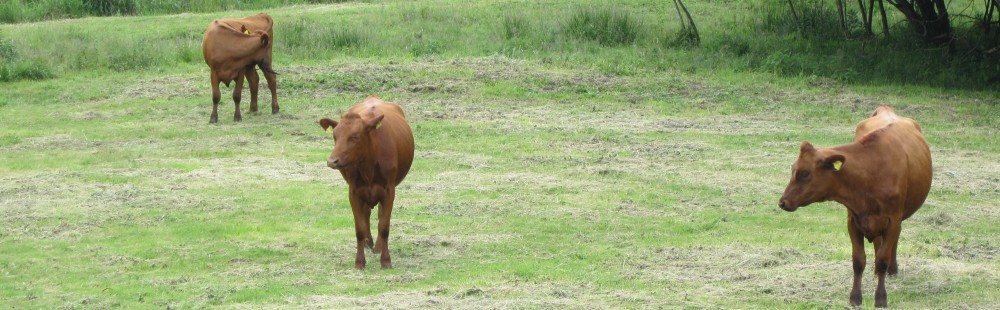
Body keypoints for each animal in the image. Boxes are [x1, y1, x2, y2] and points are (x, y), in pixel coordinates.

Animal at [320, 95, 414, 270]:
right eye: (335, 136)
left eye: (355, 137)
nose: (332, 161)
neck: (369, 164)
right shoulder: (354, 192)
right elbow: (360, 228)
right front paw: (359, 262)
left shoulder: (389, 191)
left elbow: (384, 227)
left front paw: (386, 260)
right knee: (366, 214)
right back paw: (368, 243)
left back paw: (377, 246)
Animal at [776, 104, 932, 308]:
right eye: (793, 170)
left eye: (804, 173)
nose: (783, 202)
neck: (870, 174)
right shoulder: (853, 221)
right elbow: (858, 261)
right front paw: (855, 297)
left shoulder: (892, 221)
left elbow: (882, 259)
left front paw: (880, 298)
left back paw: (892, 268)